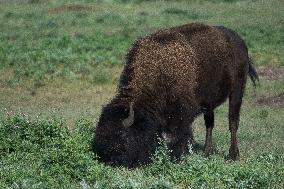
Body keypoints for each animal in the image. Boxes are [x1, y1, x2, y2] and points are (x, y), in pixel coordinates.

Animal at [92, 23, 258, 167]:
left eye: (124, 136)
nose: (112, 162)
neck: (158, 72)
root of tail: (240, 43)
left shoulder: (182, 113)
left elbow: (177, 136)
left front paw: (177, 158)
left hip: (237, 91)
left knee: (233, 122)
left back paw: (232, 155)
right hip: (209, 103)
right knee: (209, 124)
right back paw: (206, 153)